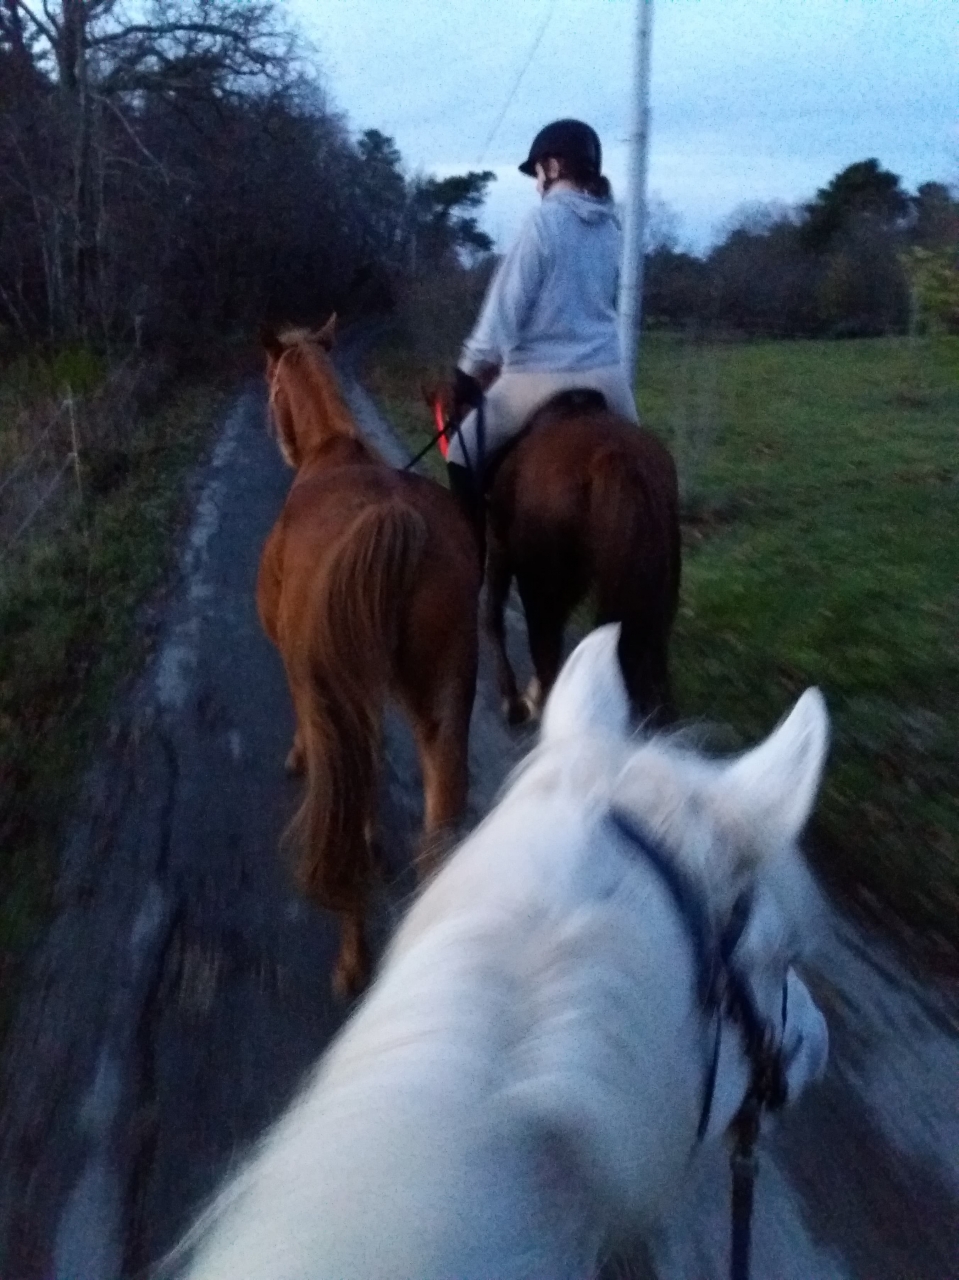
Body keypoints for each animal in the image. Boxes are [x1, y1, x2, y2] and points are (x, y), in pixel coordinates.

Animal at [256, 317, 480, 997]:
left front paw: (297, 757)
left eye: (270, 384)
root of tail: (394, 522)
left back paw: (352, 964)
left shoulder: (307, 677)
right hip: (444, 697)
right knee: (440, 818)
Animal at [428, 387, 682, 727]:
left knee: (545, 652)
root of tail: (614, 458)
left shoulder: (500, 544)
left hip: (538, 582)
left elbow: (492, 615)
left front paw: (512, 699)